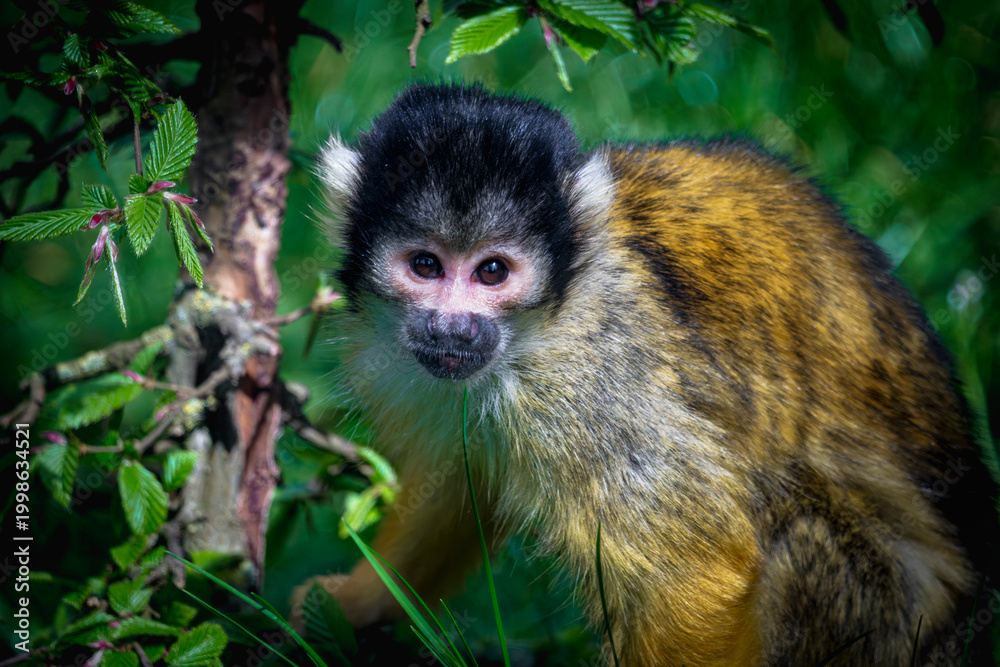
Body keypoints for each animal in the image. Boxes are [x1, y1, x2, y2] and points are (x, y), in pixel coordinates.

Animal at [297, 83, 998, 666]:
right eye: (425, 265)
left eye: (492, 271)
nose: (452, 328)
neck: (543, 328)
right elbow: (453, 488)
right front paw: (356, 604)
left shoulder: (596, 375)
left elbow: (692, 565)